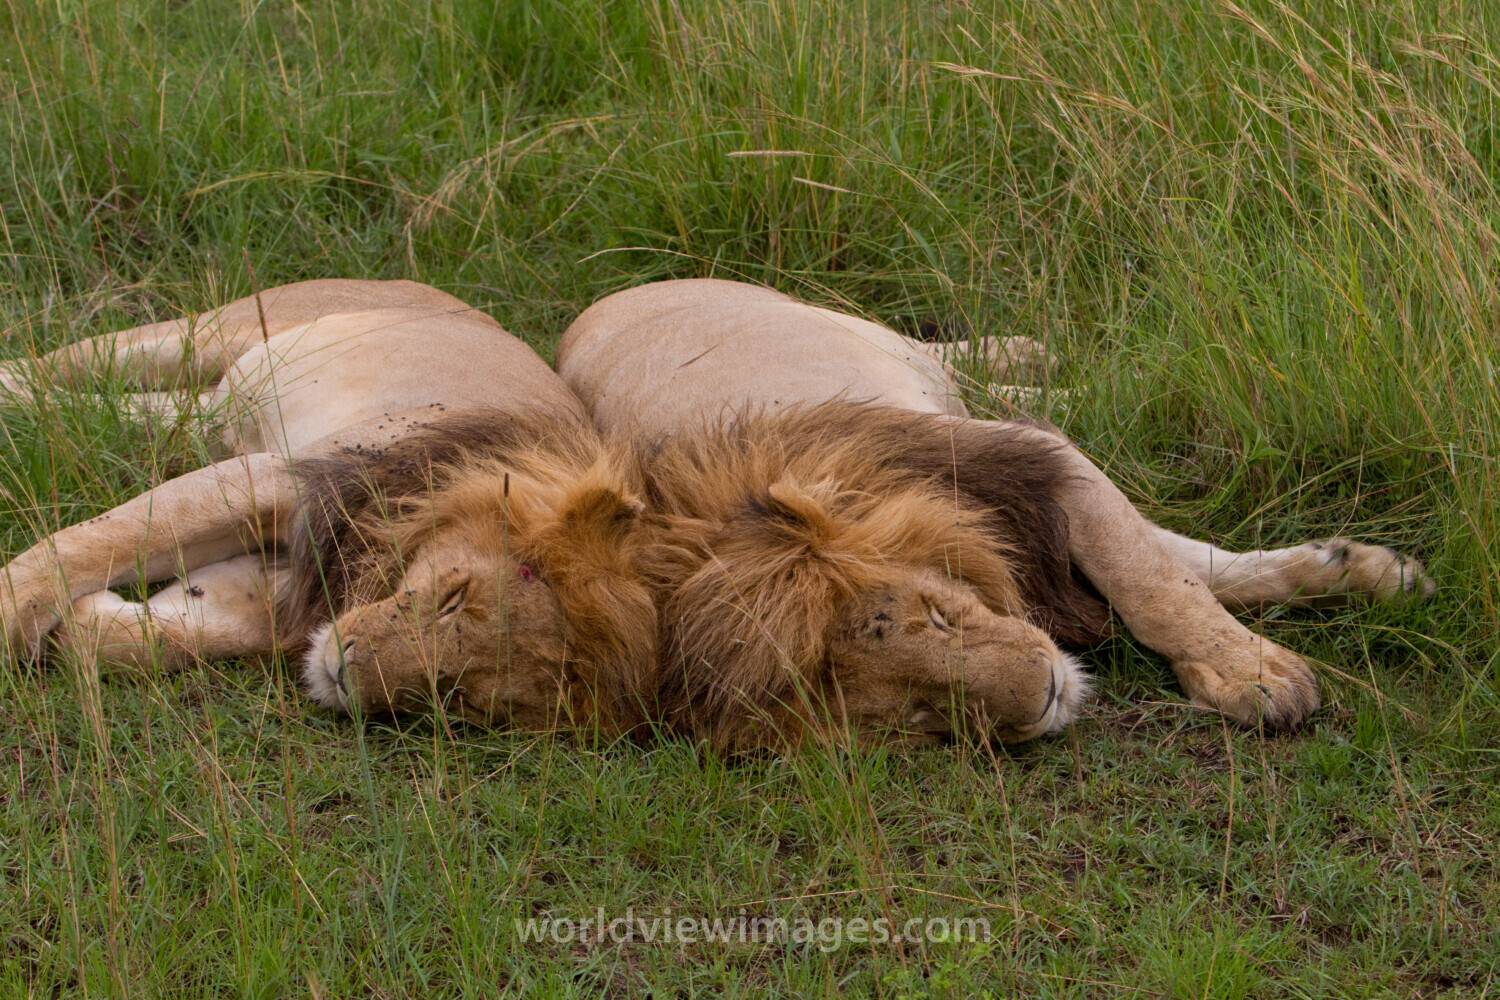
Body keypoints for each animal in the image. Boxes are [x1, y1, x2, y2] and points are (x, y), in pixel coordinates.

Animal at [0, 280, 655, 733]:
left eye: (459, 695)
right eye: (454, 597)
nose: (344, 676)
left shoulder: (293, 572)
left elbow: (202, 626)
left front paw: (85, 624)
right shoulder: (281, 477)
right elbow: (98, 541)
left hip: (207, 413)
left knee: (125, 407)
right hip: (217, 331)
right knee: (51, 365)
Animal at [557, 278, 1434, 742]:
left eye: (938, 613)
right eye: (913, 714)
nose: (1043, 694)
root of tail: (600, 303)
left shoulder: (1034, 463)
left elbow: (1160, 580)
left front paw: (1256, 667)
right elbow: (1185, 565)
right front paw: (1351, 573)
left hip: (859, 336)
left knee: (964, 357)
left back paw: (1111, 373)